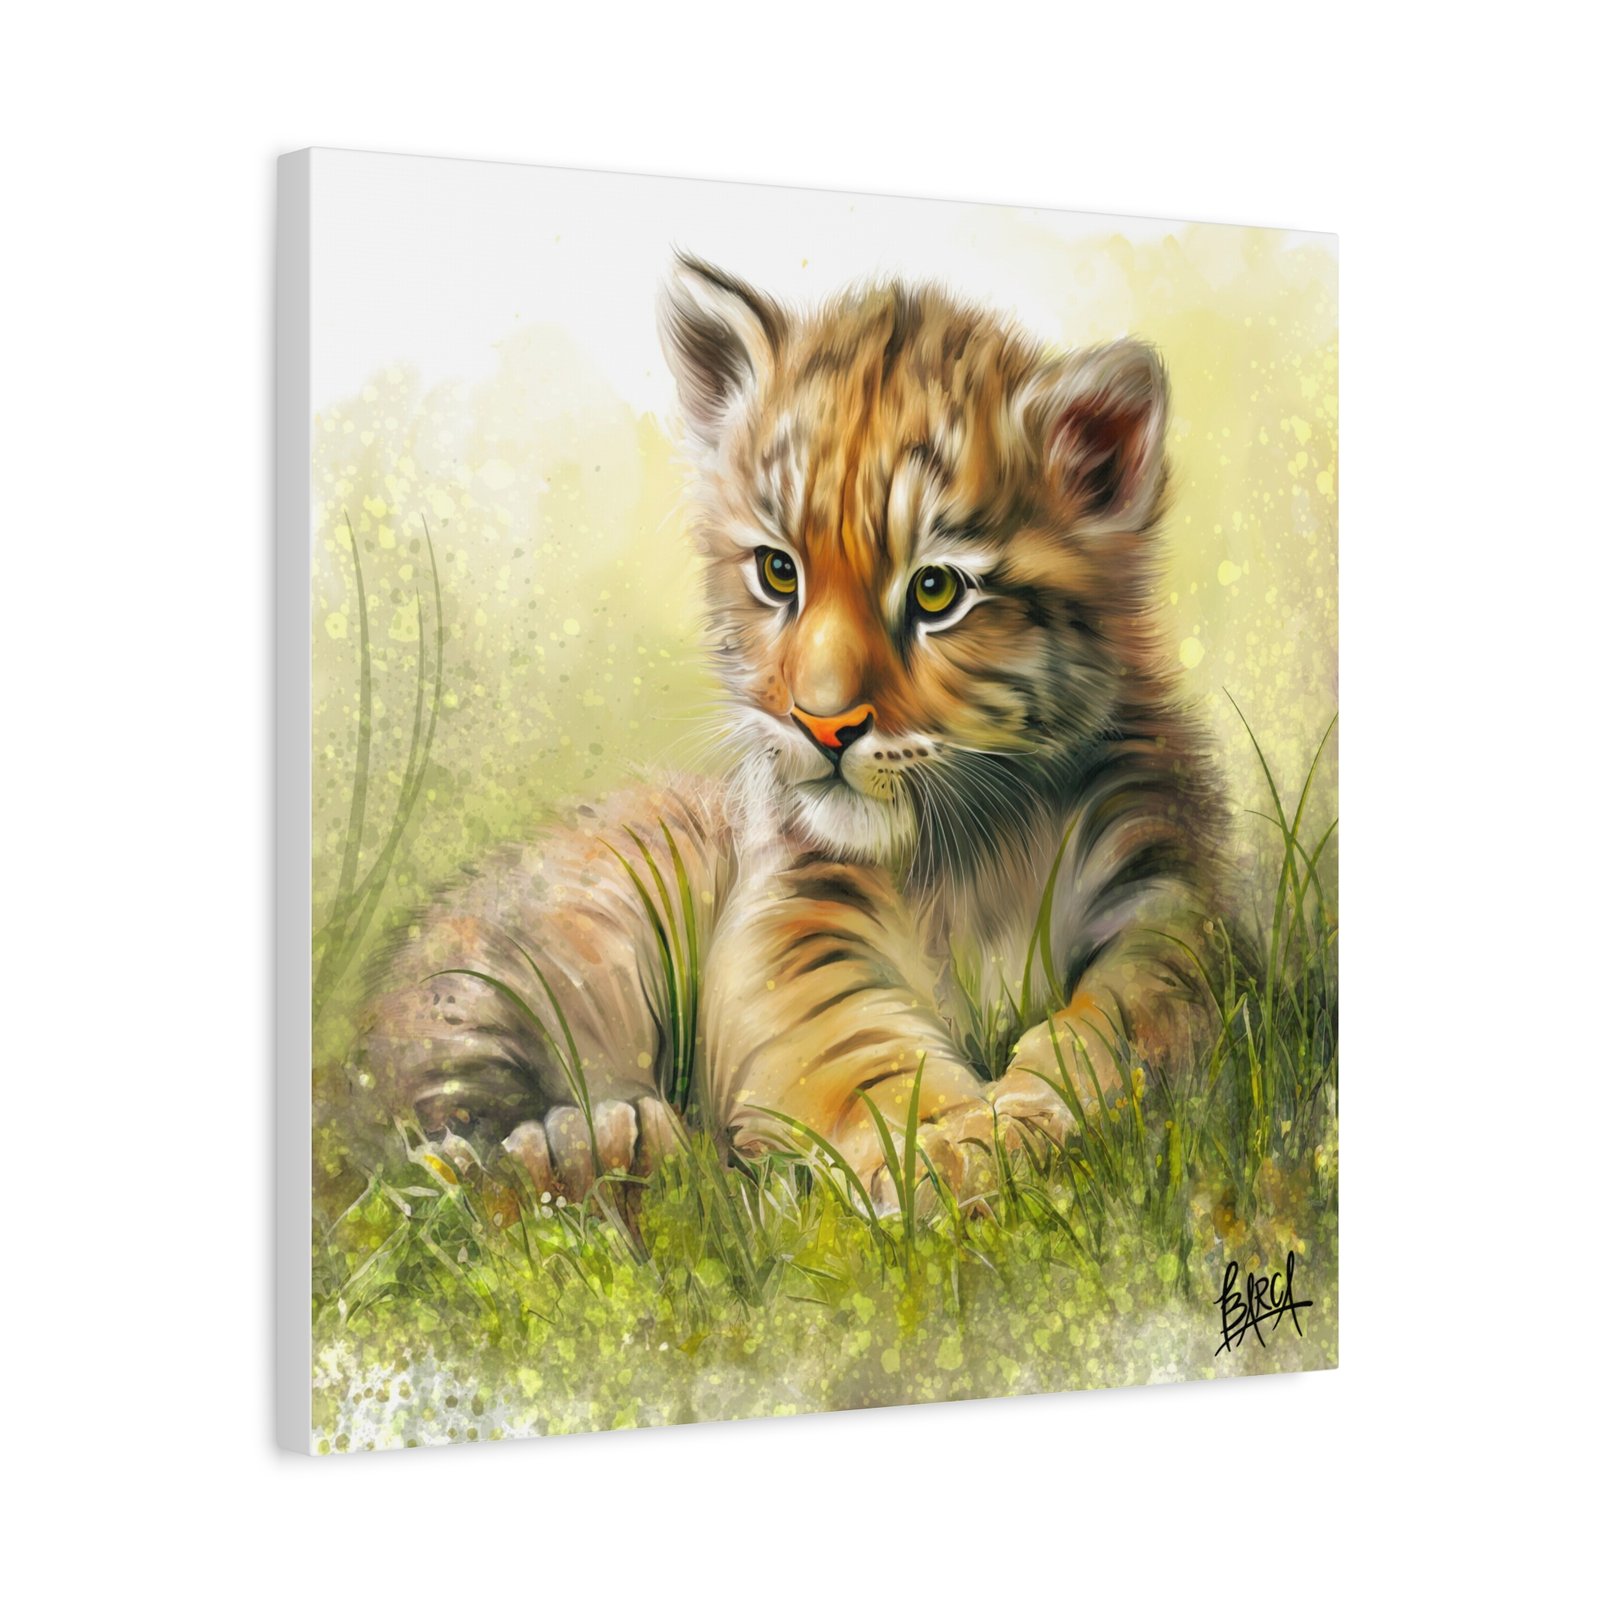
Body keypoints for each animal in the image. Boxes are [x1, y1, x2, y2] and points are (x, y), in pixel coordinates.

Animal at [350, 253, 1230, 1210]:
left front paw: (1022, 1120)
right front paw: (950, 1151)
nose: (822, 724)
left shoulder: (1161, 896)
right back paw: (597, 1147)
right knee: (425, 1149)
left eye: (935, 590)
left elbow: (1131, 1017)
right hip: (520, 965)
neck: (971, 851)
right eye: (779, 572)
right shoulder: (795, 914)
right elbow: (855, 1046)